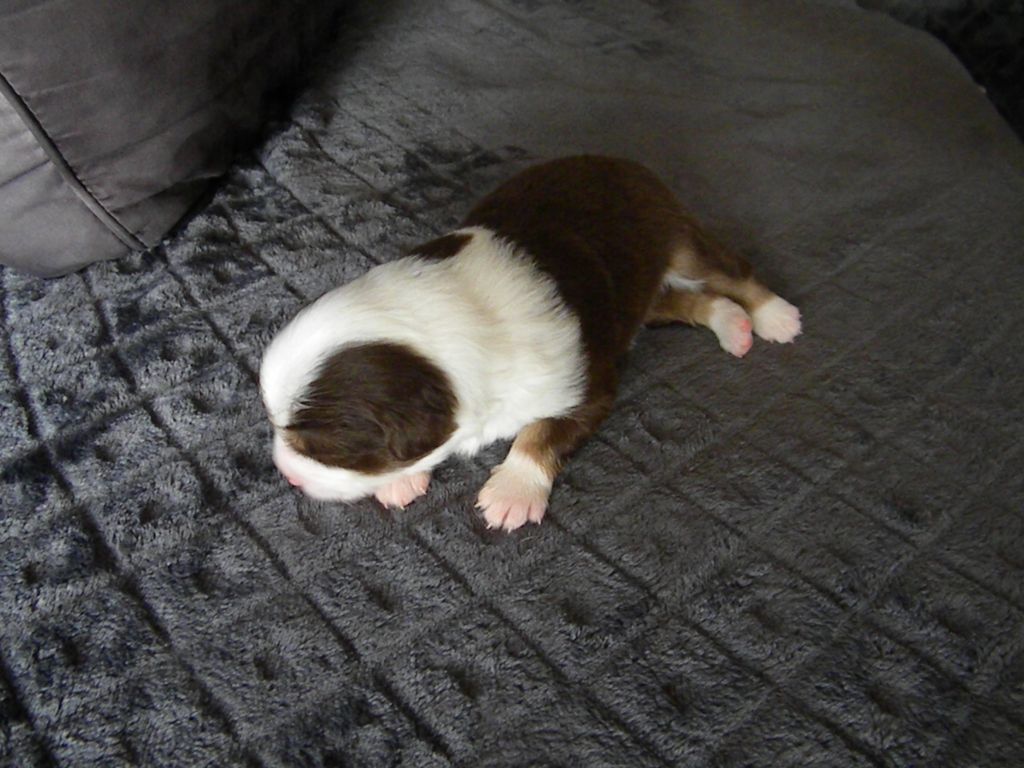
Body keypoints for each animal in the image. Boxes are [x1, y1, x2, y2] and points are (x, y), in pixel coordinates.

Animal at [259, 156, 801, 531]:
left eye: (319, 448)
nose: (286, 475)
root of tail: (619, 160)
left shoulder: (586, 384)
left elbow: (541, 433)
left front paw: (512, 493)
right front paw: (401, 480)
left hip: (679, 238)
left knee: (733, 271)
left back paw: (774, 316)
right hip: (637, 291)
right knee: (687, 301)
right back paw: (733, 324)